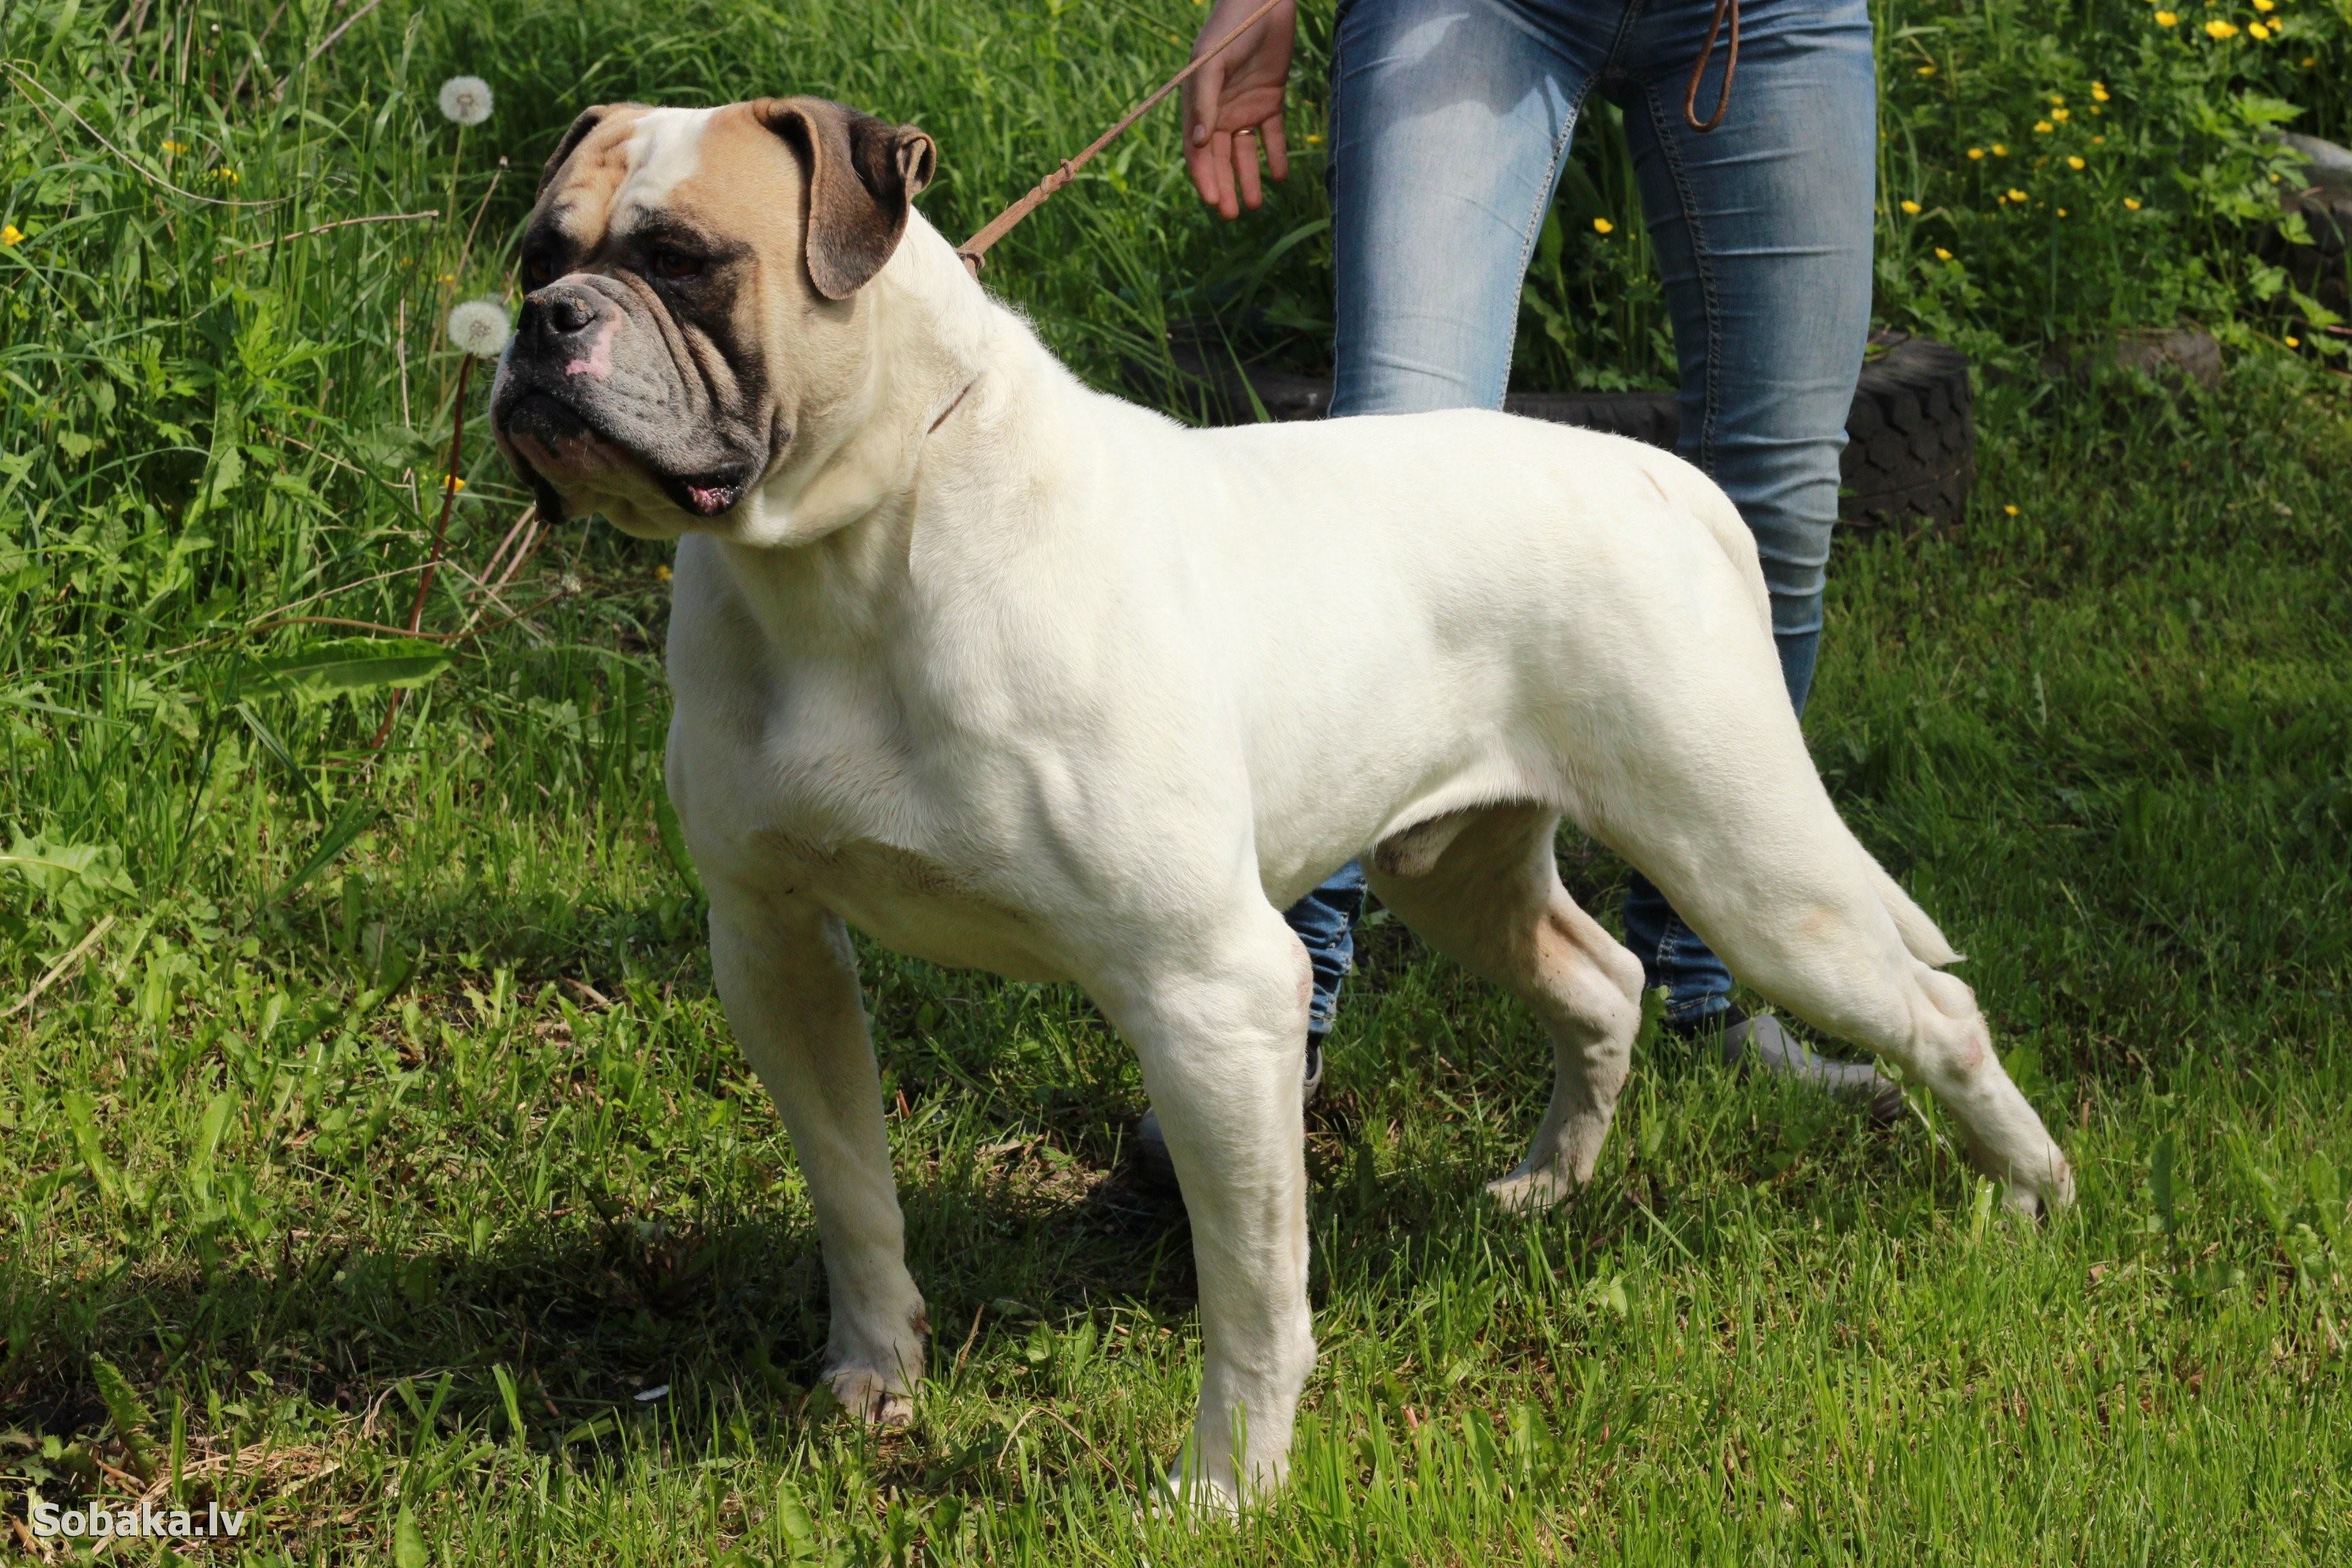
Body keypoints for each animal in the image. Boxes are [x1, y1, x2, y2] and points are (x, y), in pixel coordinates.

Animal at [487, 92, 2070, 1504]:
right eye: (532, 251)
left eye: (685, 259)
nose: (545, 323)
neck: (849, 549)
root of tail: (1662, 475)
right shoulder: (773, 944)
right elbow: (852, 1190)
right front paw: (875, 1377)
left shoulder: (1208, 990)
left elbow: (1251, 1298)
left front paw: (1227, 1490)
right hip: (1457, 865)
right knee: (1600, 978)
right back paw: (1548, 1188)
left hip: (1750, 873)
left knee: (1933, 1009)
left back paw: (2030, 1194)